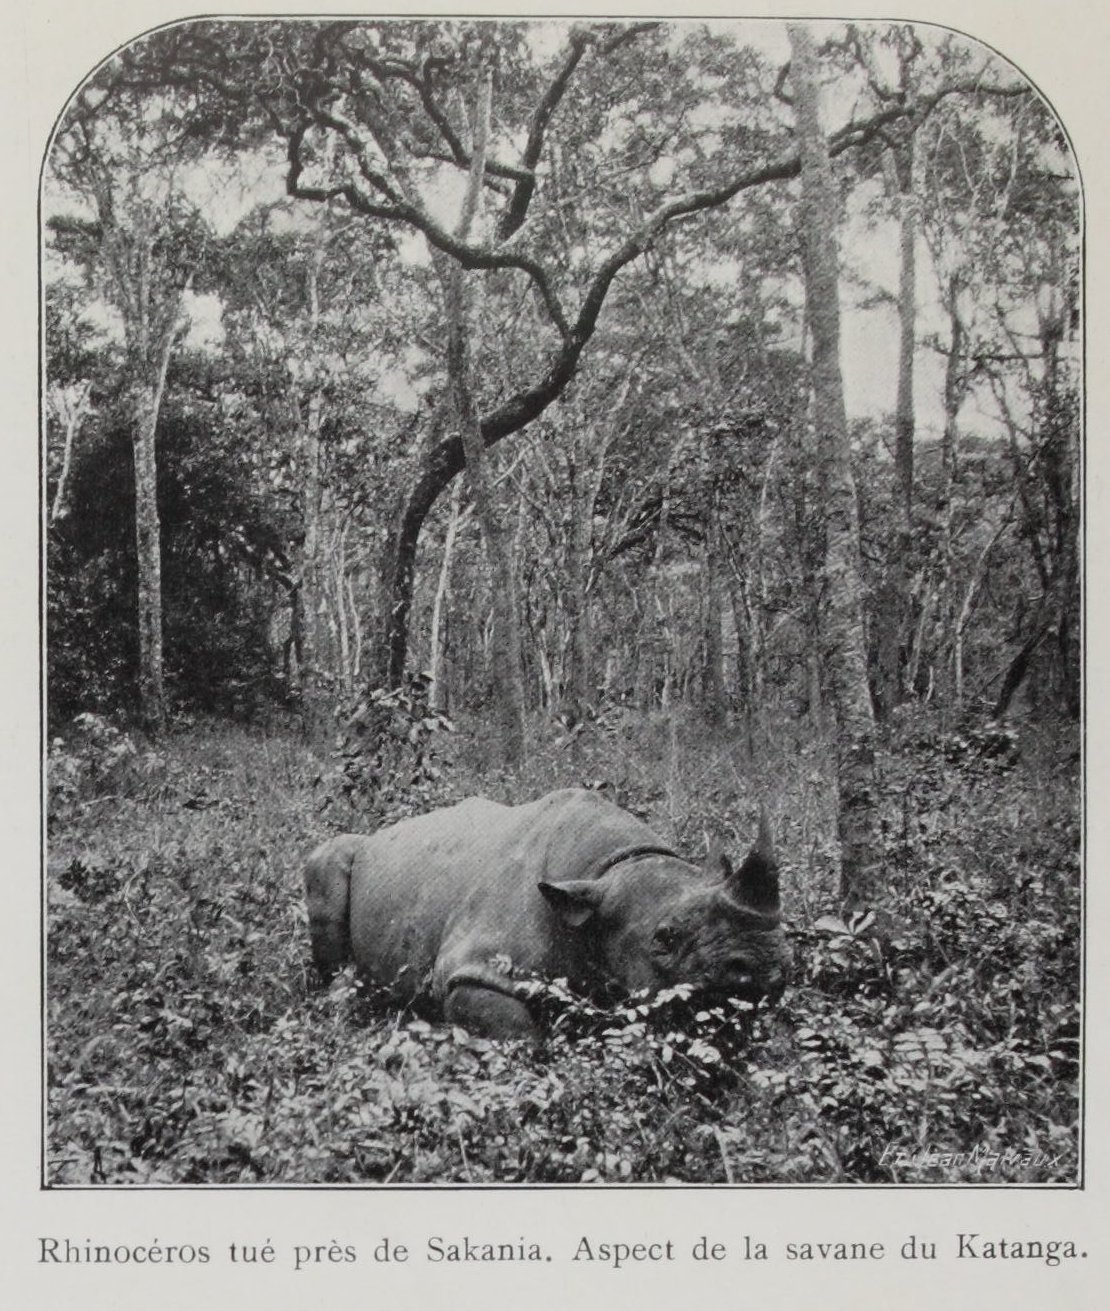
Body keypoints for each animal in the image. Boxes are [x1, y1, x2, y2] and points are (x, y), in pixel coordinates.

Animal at [304, 787, 789, 1038]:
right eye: (664, 938)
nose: (764, 967)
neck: (609, 871)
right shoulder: (469, 969)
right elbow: (521, 1036)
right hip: (339, 854)